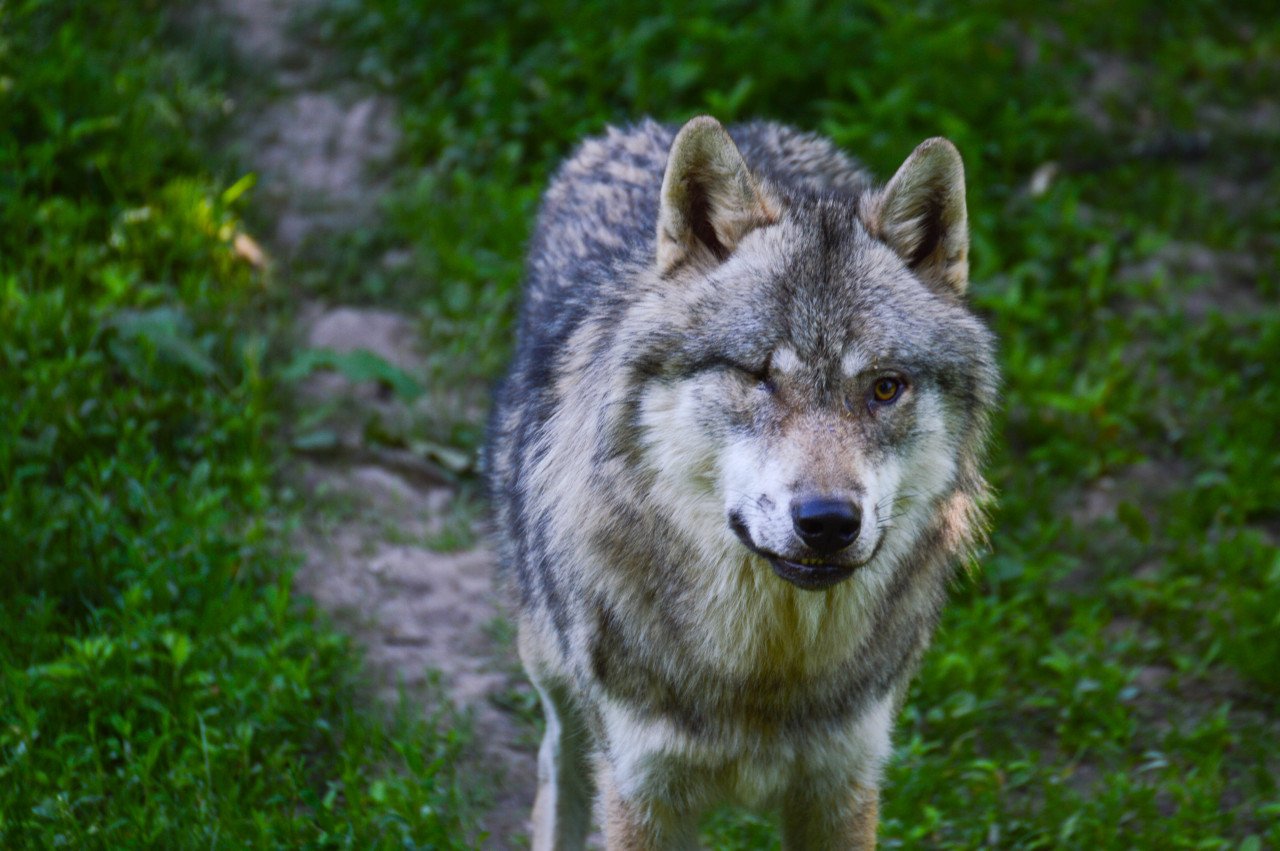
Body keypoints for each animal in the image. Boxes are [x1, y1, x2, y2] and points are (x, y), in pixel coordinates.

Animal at [485, 115, 998, 849]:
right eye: (758, 375)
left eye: (885, 387)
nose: (828, 521)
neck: (762, 675)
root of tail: (641, 128)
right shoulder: (643, 793)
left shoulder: (844, 787)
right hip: (556, 676)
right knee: (559, 764)